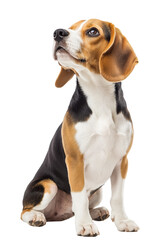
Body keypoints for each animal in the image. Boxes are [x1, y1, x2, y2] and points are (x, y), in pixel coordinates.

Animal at [21, 18, 139, 236]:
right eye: (70, 28)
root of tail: (57, 214)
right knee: (25, 210)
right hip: (48, 185)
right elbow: (79, 196)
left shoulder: (122, 160)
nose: (58, 33)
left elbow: (117, 197)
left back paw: (97, 212)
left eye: (93, 31)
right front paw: (84, 225)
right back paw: (36, 217)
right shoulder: (75, 160)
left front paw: (122, 221)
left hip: (98, 191)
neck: (99, 96)